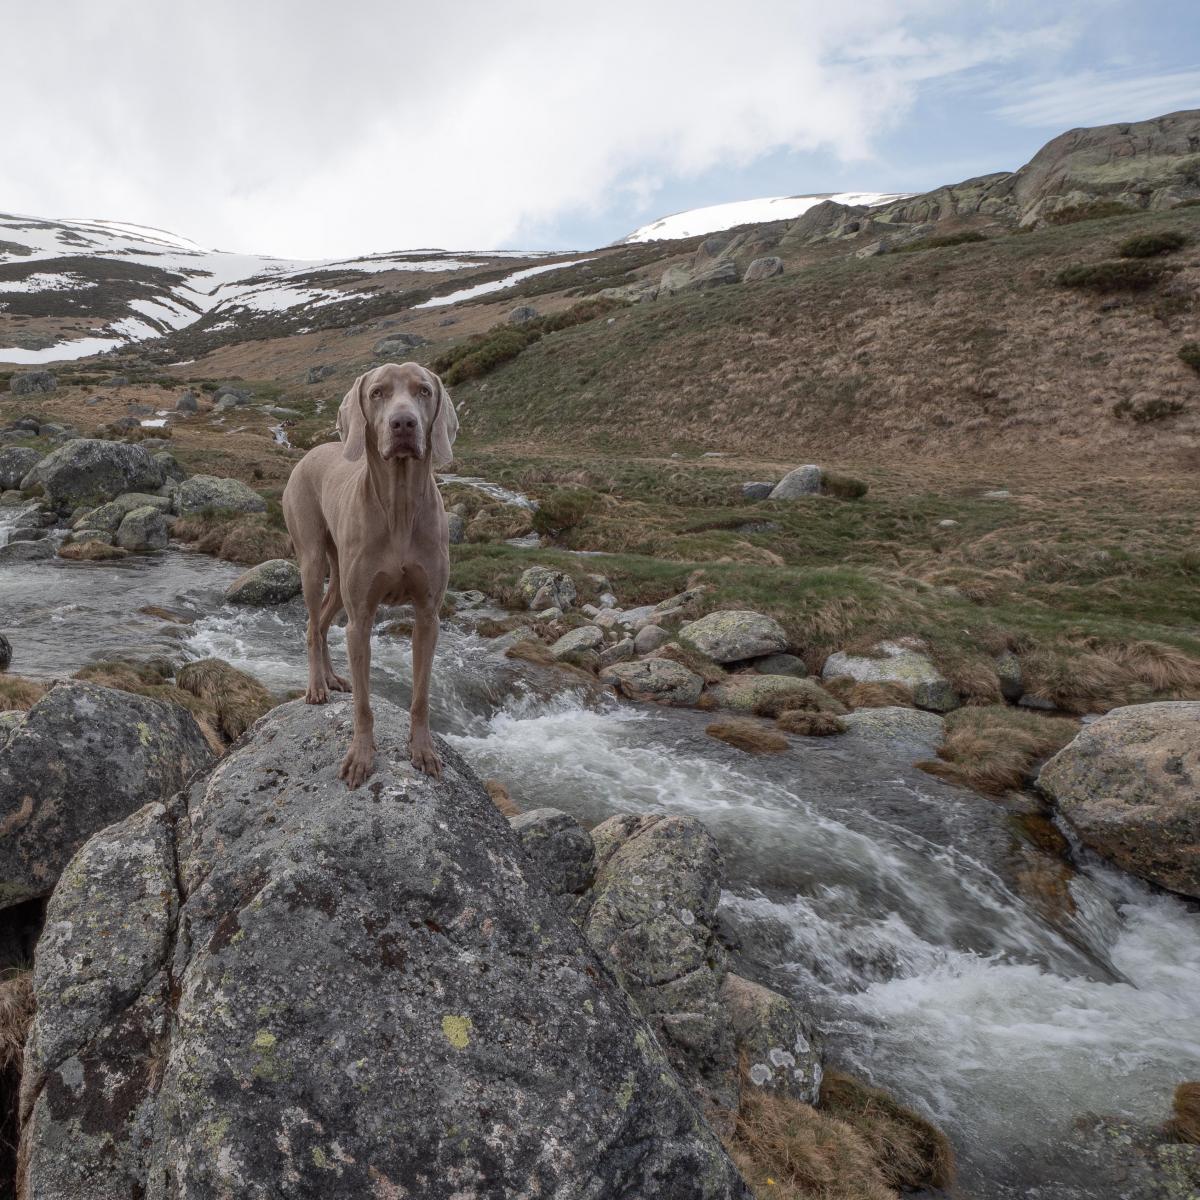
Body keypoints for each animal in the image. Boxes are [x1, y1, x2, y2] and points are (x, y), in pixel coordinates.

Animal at [280, 360, 458, 782]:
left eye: (424, 390)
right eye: (378, 392)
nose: (404, 423)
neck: (399, 506)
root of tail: (310, 452)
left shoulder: (428, 617)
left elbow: (421, 696)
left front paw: (424, 751)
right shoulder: (360, 618)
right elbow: (363, 703)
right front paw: (360, 758)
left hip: (339, 574)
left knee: (324, 623)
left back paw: (331, 678)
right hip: (312, 559)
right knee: (311, 625)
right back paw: (317, 687)